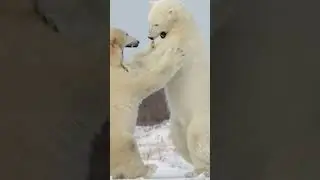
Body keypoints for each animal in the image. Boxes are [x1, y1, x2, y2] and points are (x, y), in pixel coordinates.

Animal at [109, 27, 185, 178]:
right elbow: (148, 79)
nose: (138, 41)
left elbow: (139, 64)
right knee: (130, 147)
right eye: (126, 33)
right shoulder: (122, 80)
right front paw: (175, 54)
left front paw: (152, 45)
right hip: (118, 140)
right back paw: (150, 168)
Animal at [144, 0, 210, 177]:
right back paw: (194, 169)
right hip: (177, 121)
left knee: (196, 138)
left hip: (201, 117)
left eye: (156, 23)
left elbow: (164, 55)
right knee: (179, 139)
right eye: (149, 23)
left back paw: (202, 169)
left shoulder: (183, 44)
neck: (183, 26)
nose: (149, 36)